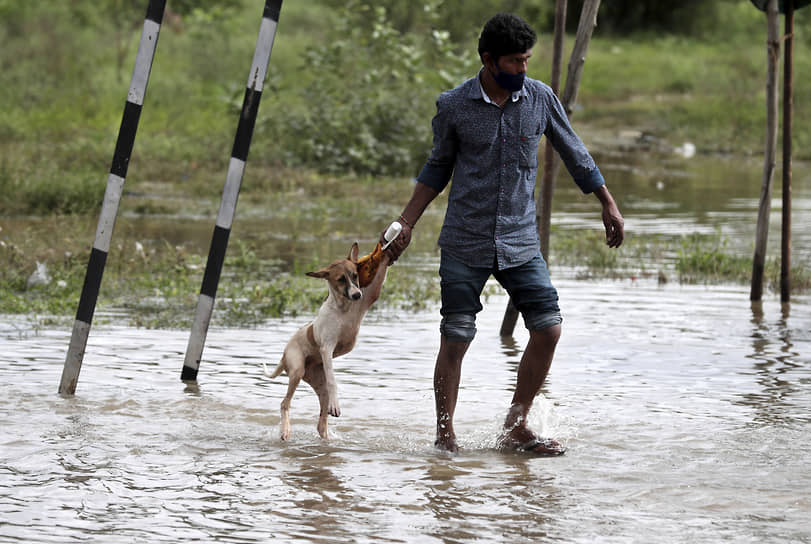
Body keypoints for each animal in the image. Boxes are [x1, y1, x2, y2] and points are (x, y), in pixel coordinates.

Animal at [260, 243, 386, 442]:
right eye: (340, 279)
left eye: (355, 275)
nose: (357, 295)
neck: (343, 308)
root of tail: (284, 355)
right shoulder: (327, 349)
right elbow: (334, 380)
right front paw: (336, 404)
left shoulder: (370, 296)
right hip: (297, 370)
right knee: (284, 403)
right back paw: (285, 430)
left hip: (319, 385)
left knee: (321, 423)